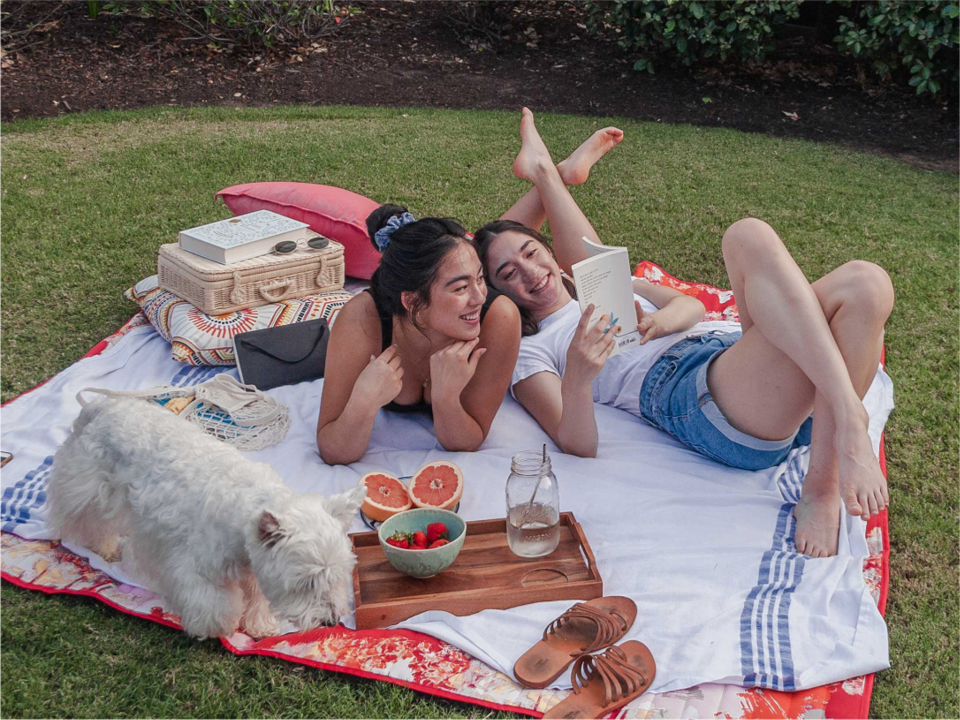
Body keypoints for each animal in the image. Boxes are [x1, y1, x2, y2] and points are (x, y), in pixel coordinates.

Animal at [47, 396, 366, 640]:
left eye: (338, 577)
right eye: (306, 584)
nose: (330, 621)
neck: (244, 514)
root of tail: (98, 405)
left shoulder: (254, 567)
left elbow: (257, 599)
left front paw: (261, 626)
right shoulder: (195, 567)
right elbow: (211, 602)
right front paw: (218, 626)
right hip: (93, 491)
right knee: (89, 522)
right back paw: (106, 548)